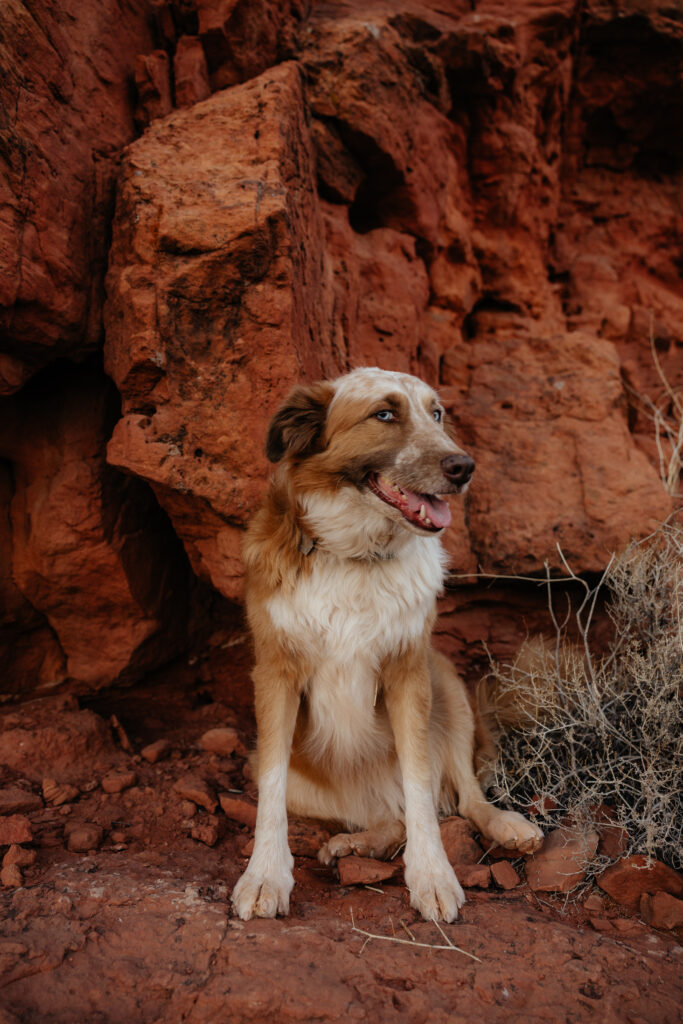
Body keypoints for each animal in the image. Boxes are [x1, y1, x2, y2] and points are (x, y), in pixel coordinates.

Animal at [232, 366, 540, 921]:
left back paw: (507, 825)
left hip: (446, 680)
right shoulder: (275, 673)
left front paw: (432, 875)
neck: (355, 556)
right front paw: (265, 875)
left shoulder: (408, 673)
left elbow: (420, 787)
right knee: (387, 817)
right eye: (384, 414)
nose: (464, 466)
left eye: (436, 414)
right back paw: (350, 844)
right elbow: (270, 792)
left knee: (461, 798)